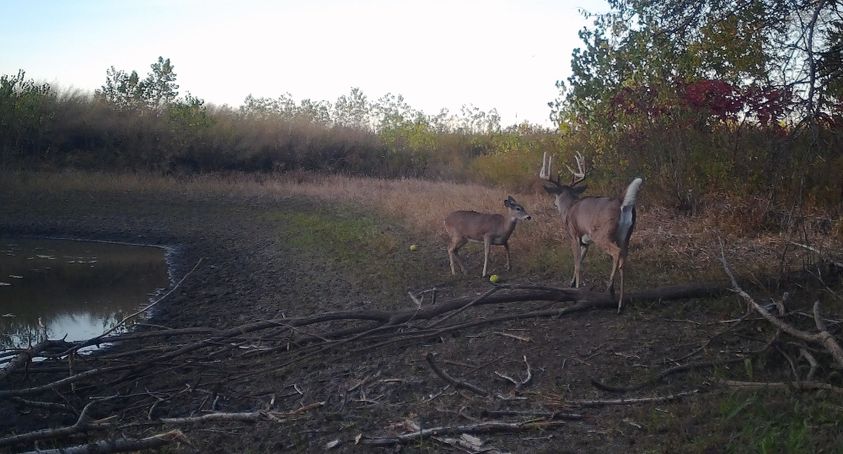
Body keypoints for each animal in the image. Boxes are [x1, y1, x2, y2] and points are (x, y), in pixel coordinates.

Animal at [544, 153, 644, 312]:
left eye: (555, 196)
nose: (554, 204)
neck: (569, 209)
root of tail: (621, 202)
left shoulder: (573, 234)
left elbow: (577, 263)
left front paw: (576, 289)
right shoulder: (586, 242)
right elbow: (580, 260)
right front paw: (572, 283)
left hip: (602, 234)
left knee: (616, 252)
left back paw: (610, 289)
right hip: (627, 234)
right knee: (624, 257)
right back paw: (620, 304)